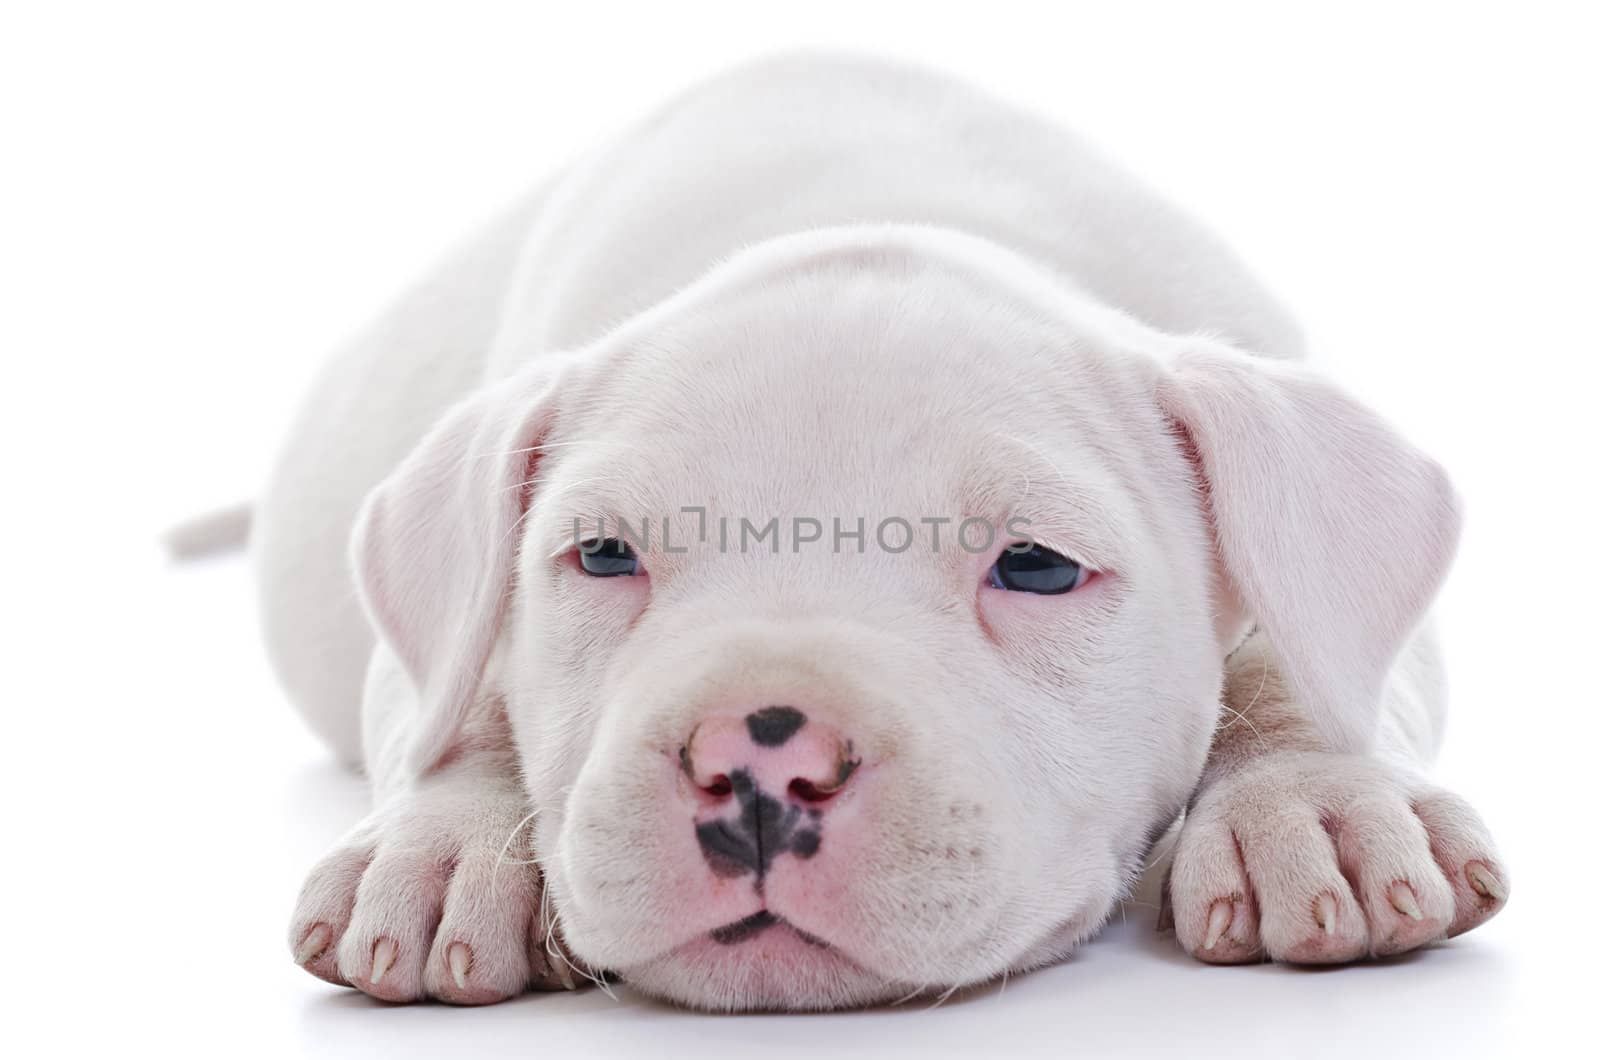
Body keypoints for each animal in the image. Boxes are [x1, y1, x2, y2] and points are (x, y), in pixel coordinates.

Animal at [256, 56, 1504, 1011]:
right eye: (603, 555)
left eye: (1036, 566)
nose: (758, 759)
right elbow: (454, 695)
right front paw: (441, 847)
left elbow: (1303, 655)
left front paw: (1316, 801)